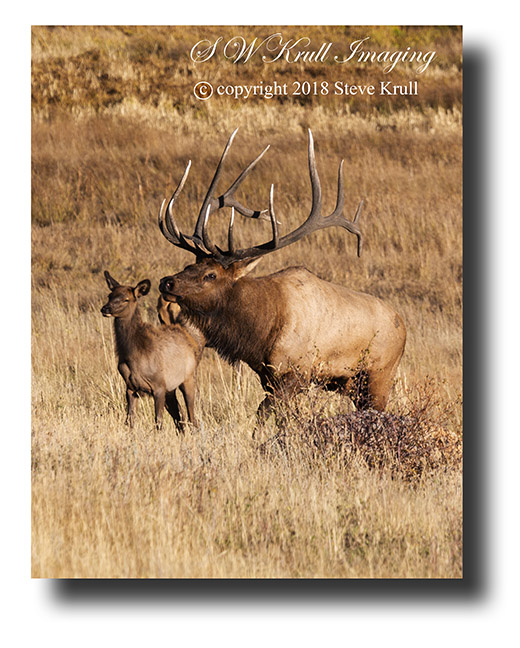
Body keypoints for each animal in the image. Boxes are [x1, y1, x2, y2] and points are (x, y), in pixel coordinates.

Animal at [101, 271, 203, 430]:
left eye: (126, 299)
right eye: (110, 296)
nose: (105, 309)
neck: (132, 355)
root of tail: (193, 341)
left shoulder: (159, 385)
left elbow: (158, 422)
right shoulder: (130, 388)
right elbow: (129, 420)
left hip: (188, 377)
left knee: (192, 417)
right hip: (171, 389)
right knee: (179, 419)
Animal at [157, 129, 406, 424]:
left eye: (211, 275)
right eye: (189, 265)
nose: (166, 282)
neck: (259, 332)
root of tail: (404, 326)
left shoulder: (295, 372)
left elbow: (263, 415)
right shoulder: (266, 376)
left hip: (379, 376)